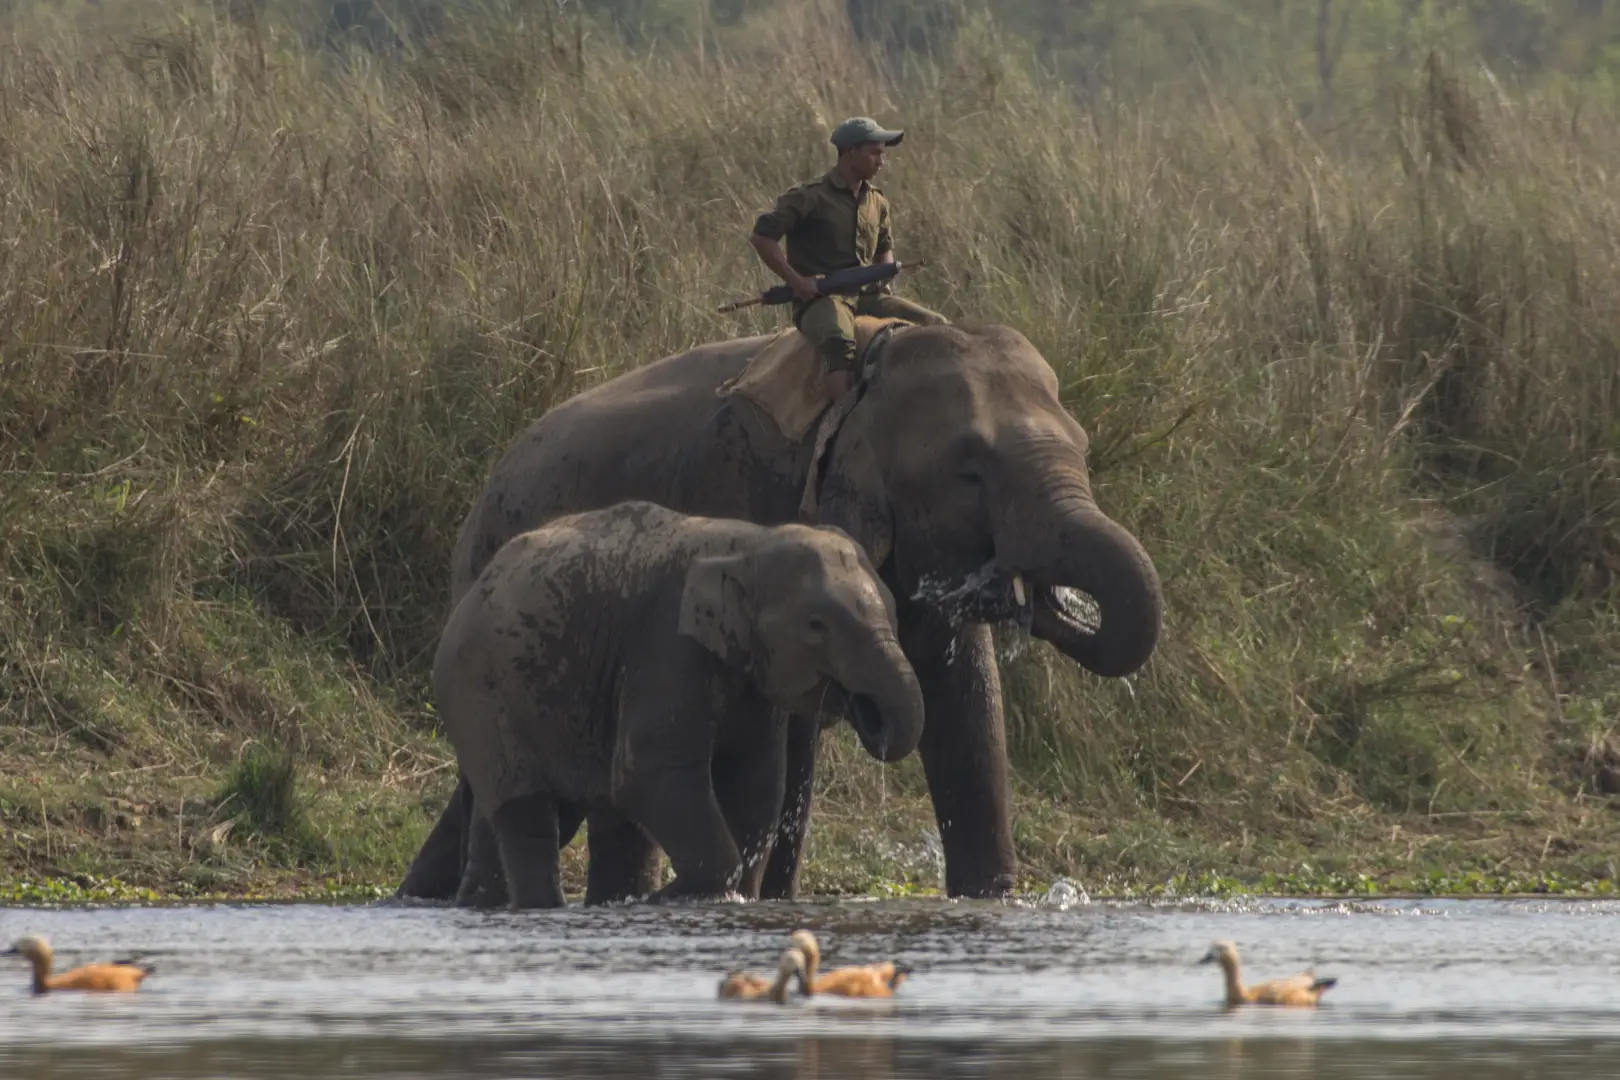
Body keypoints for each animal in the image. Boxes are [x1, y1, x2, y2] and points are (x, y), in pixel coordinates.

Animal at [434, 501, 926, 906]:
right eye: (816, 625)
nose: (867, 712)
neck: (749, 543)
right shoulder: (667, 641)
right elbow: (647, 773)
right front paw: (684, 895)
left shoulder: (746, 671)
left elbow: (755, 780)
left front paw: (727, 895)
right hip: (480, 693)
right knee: (528, 811)